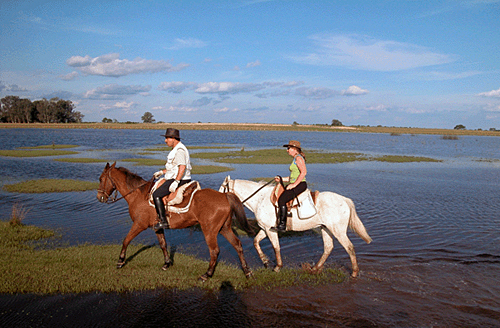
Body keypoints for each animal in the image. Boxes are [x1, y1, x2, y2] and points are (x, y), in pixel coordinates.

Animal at [96, 163, 254, 280]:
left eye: (100, 179)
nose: (99, 197)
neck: (138, 195)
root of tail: (224, 196)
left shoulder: (139, 225)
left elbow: (126, 240)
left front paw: (120, 261)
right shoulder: (157, 227)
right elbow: (163, 244)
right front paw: (167, 263)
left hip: (210, 230)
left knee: (214, 250)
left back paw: (207, 274)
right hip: (224, 228)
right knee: (237, 245)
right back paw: (247, 271)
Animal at [220, 176, 372, 278]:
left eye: (222, 188)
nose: (218, 203)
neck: (260, 199)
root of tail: (345, 200)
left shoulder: (270, 230)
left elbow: (276, 247)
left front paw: (277, 267)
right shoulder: (265, 229)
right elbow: (256, 242)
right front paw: (265, 261)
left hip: (338, 231)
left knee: (349, 247)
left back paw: (354, 272)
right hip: (325, 228)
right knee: (328, 248)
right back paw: (315, 268)